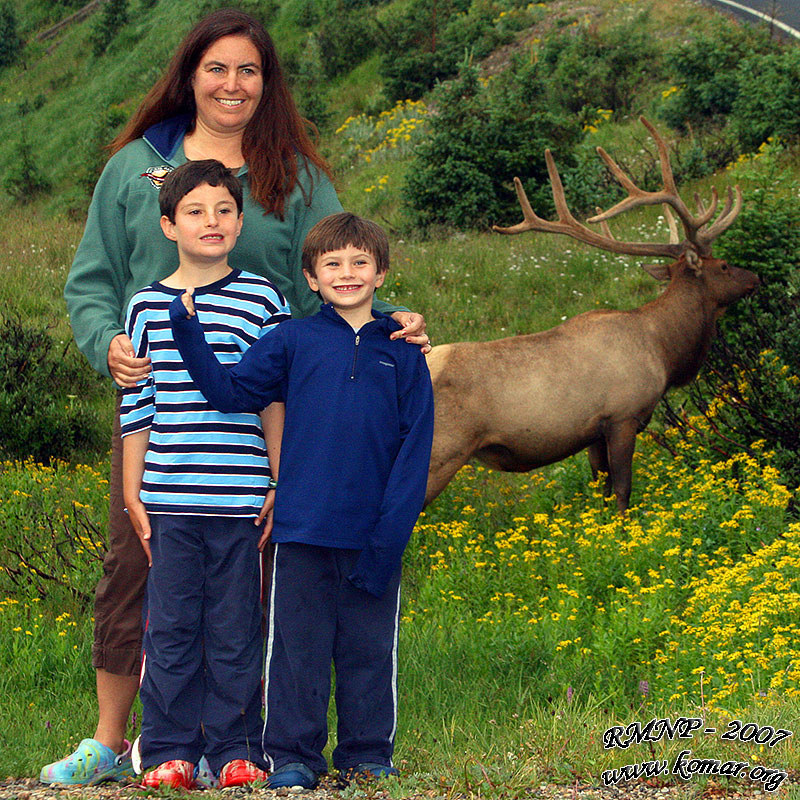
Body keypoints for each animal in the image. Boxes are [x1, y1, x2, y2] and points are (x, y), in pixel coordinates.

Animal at [424, 115, 756, 510]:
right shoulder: (622, 415)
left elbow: (600, 490)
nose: (755, 278)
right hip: (441, 453)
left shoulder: (592, 433)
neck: (662, 348)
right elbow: (622, 490)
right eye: (723, 266)